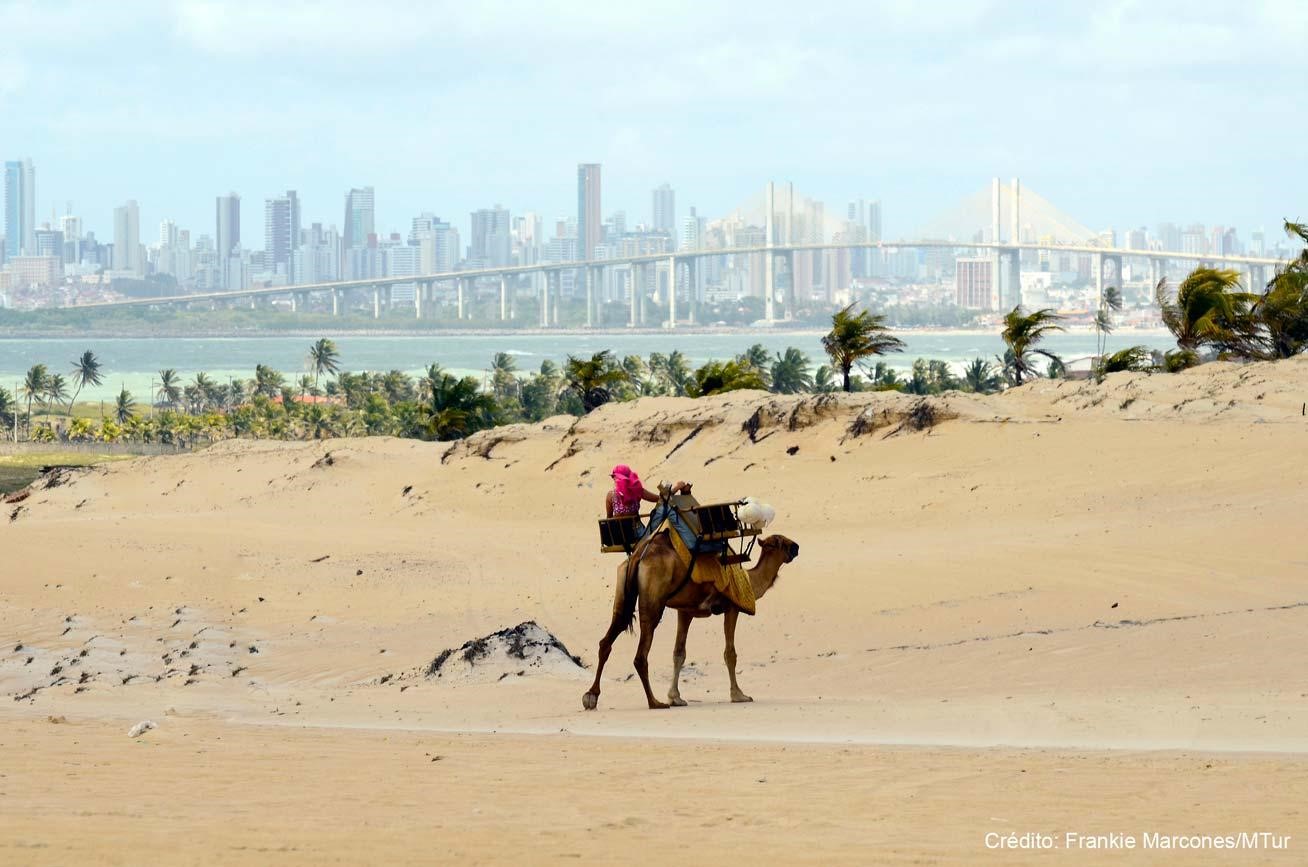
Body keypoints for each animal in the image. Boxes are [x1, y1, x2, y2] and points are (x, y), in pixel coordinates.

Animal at [583, 528, 795, 711]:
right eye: (782, 542)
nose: (797, 547)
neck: (749, 581)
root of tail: (638, 556)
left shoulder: (685, 611)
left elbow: (679, 653)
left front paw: (675, 697)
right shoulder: (732, 607)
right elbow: (730, 653)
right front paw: (739, 695)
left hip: (622, 591)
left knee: (608, 638)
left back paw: (591, 696)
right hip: (653, 601)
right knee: (641, 654)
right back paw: (655, 702)